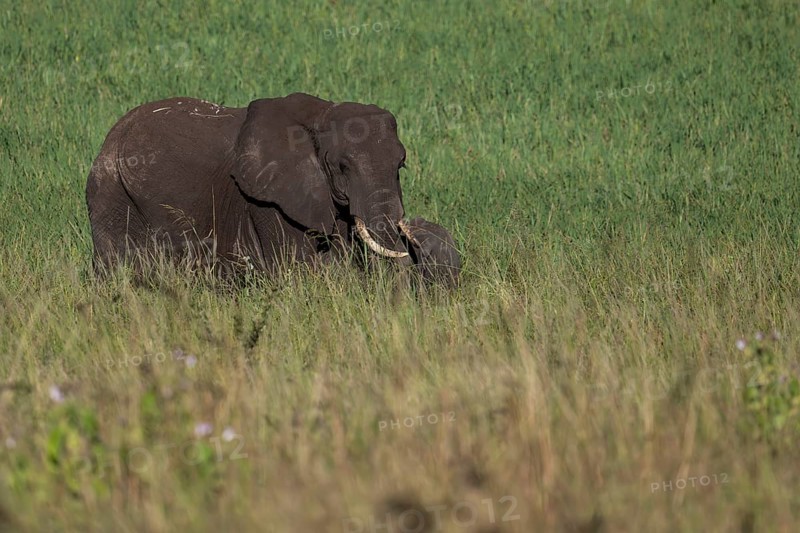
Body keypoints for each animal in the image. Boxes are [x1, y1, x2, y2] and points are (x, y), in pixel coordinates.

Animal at [85, 93, 460, 286]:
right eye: (342, 166)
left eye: (401, 165)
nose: (417, 231)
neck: (322, 114)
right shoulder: (267, 197)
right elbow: (297, 263)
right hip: (110, 193)